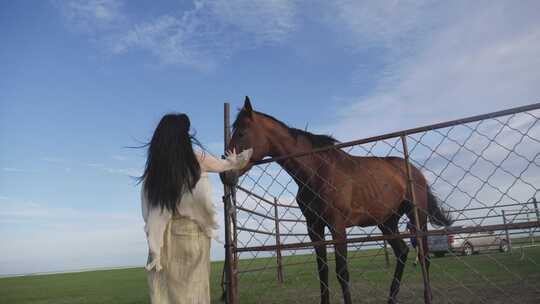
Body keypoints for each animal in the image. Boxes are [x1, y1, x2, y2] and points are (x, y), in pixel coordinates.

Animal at [226, 97, 454, 304]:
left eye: (241, 132)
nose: (225, 175)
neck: (317, 171)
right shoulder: (315, 228)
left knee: (423, 256)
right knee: (402, 252)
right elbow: (323, 271)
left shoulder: (337, 226)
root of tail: (414, 171)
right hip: (387, 223)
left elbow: (342, 272)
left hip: (417, 217)